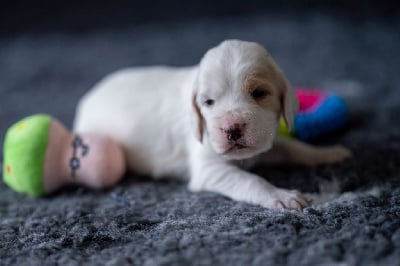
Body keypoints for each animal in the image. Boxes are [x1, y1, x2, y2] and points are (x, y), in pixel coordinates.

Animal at [74, 39, 350, 210]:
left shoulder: (266, 140)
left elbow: (294, 148)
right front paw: (282, 196)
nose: (232, 129)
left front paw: (328, 153)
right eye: (208, 102)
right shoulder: (210, 168)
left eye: (259, 93)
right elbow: (251, 180)